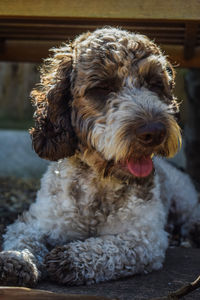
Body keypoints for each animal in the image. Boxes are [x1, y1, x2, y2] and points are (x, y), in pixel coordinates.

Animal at [0, 27, 199, 288]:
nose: (155, 131)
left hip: (184, 197)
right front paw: (16, 260)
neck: (100, 181)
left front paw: (71, 258)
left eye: (155, 84)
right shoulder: (34, 221)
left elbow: (110, 248)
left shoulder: (145, 237)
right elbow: (23, 238)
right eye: (102, 88)